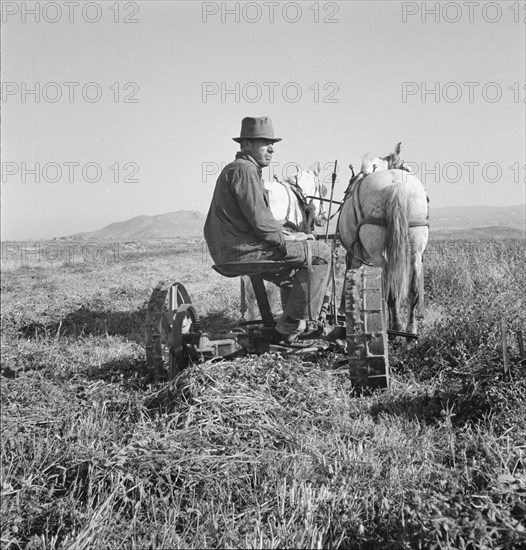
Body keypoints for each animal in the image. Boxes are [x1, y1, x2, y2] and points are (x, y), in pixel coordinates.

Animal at [340, 142, 432, 338]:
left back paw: (395, 328)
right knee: (410, 290)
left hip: (376, 253)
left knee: (389, 289)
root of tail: (396, 184)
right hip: (414, 248)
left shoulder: (354, 255)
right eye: (407, 167)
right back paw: (407, 331)